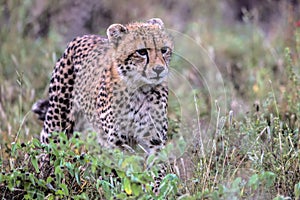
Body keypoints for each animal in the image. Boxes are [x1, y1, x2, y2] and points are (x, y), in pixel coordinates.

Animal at [32, 18, 173, 192]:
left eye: (164, 50)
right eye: (141, 52)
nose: (159, 69)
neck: (140, 90)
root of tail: (82, 36)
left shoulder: (155, 142)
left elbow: (155, 173)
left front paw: (153, 192)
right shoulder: (118, 143)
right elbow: (123, 172)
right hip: (58, 123)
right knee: (47, 152)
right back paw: (42, 181)